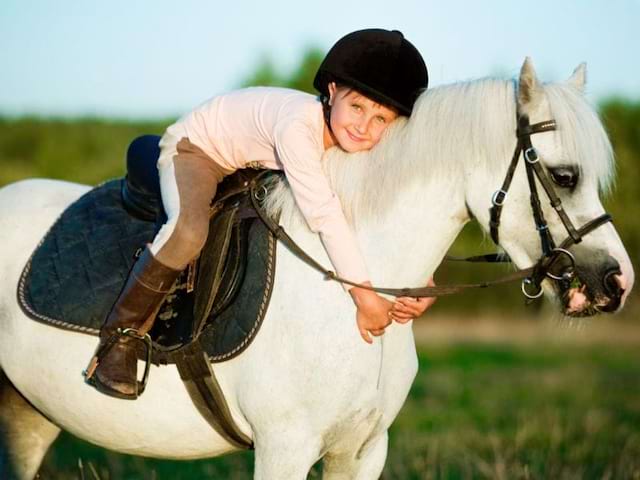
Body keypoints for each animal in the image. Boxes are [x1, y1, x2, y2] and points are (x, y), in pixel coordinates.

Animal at [0, 60, 632, 480]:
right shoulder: (285, 448)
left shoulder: (362, 450)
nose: (615, 283)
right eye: (566, 175)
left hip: (28, 416)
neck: (345, 289)